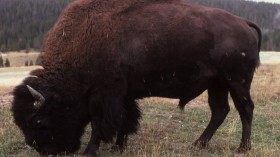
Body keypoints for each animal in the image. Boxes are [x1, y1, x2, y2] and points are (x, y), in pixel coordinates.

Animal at [11, 0, 260, 156]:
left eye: (37, 120)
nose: (44, 151)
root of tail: (243, 22)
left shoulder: (104, 94)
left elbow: (100, 123)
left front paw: (90, 151)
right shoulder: (124, 94)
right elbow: (126, 119)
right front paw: (119, 147)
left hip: (237, 81)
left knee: (245, 109)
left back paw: (243, 148)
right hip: (217, 84)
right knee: (220, 111)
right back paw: (198, 144)